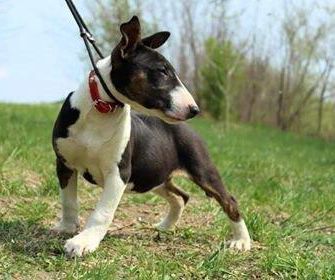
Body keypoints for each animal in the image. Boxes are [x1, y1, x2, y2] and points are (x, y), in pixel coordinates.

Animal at [52, 16, 251, 258]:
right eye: (162, 71)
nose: (194, 109)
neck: (101, 110)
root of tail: (190, 130)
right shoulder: (64, 163)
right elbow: (68, 200)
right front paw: (67, 227)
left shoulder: (119, 173)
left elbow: (102, 212)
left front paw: (83, 242)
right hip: (156, 176)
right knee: (181, 196)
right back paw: (165, 226)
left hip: (202, 170)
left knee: (229, 200)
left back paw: (241, 241)